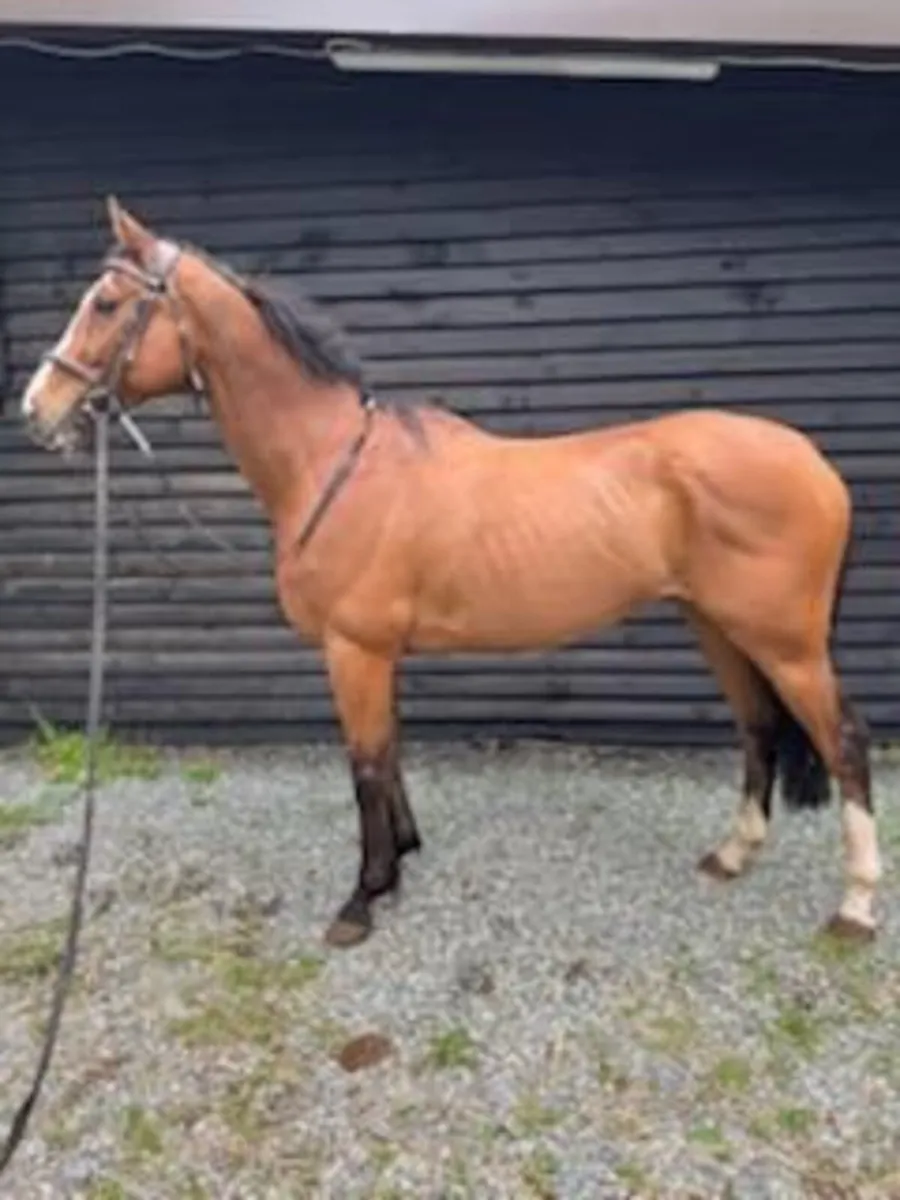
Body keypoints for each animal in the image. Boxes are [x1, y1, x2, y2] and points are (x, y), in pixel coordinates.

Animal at [20, 197, 882, 950]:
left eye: (105, 304)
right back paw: (733, 855)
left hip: (785, 641)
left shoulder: (354, 649)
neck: (334, 462)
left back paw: (856, 906)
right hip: (718, 625)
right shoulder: (379, 653)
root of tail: (816, 465)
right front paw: (402, 856)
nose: (37, 408)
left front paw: (362, 898)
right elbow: (391, 751)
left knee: (843, 739)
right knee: (759, 728)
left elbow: (366, 763)